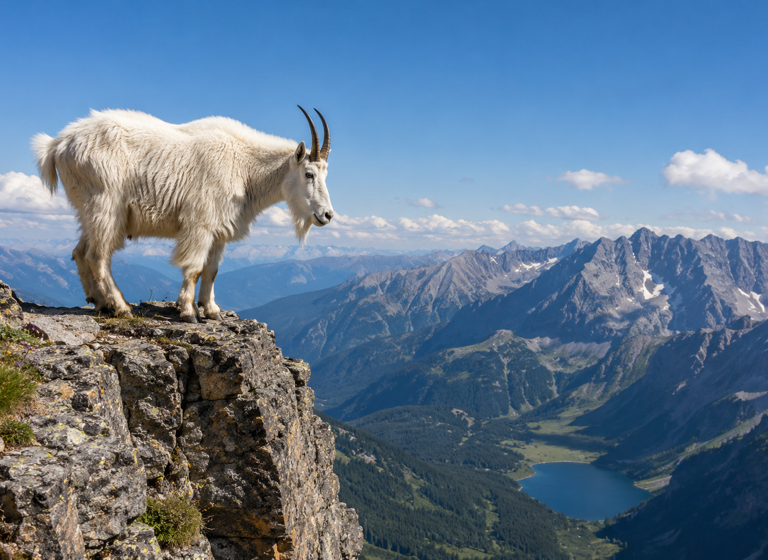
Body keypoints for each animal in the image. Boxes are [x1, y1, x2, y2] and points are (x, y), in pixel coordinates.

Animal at [32, 107, 334, 322]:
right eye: (309, 174)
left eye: (326, 174)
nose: (327, 215)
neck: (245, 167)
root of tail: (57, 145)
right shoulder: (200, 223)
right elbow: (195, 267)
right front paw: (189, 312)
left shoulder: (219, 230)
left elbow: (212, 270)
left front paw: (212, 311)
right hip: (105, 205)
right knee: (97, 255)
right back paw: (122, 307)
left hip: (88, 210)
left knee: (80, 251)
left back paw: (100, 303)